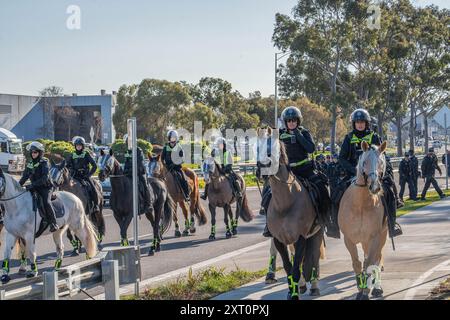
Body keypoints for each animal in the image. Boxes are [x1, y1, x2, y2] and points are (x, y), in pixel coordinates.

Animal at [255, 127, 326, 300]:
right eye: (257, 148)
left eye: (273, 149)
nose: (262, 171)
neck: (285, 204)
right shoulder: (279, 239)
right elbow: (289, 266)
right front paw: (292, 290)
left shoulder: (301, 237)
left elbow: (297, 267)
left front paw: (294, 294)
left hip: (317, 232)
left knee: (313, 257)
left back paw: (314, 286)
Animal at [340, 140, 388, 300]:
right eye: (365, 162)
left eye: (381, 162)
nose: (375, 187)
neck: (360, 204)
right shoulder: (348, 239)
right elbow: (357, 263)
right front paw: (360, 288)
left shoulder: (375, 237)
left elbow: (370, 263)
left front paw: (366, 291)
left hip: (381, 236)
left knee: (377, 259)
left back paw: (377, 287)